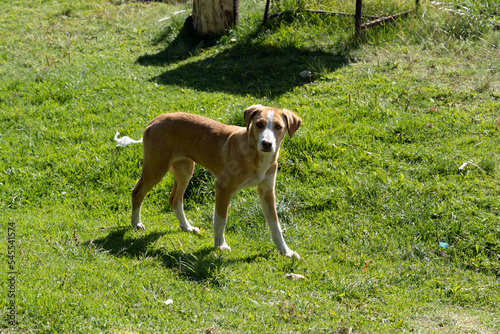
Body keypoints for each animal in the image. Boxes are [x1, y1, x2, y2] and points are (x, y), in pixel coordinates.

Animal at [131, 104, 300, 258]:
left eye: (278, 127)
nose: (266, 144)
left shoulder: (267, 191)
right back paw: (136, 224)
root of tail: (155, 120)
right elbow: (220, 219)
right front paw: (220, 245)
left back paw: (187, 227)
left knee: (175, 198)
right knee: (137, 192)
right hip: (156, 168)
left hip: (185, 169)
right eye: (259, 124)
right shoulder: (223, 186)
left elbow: (275, 224)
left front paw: (285, 251)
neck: (256, 156)